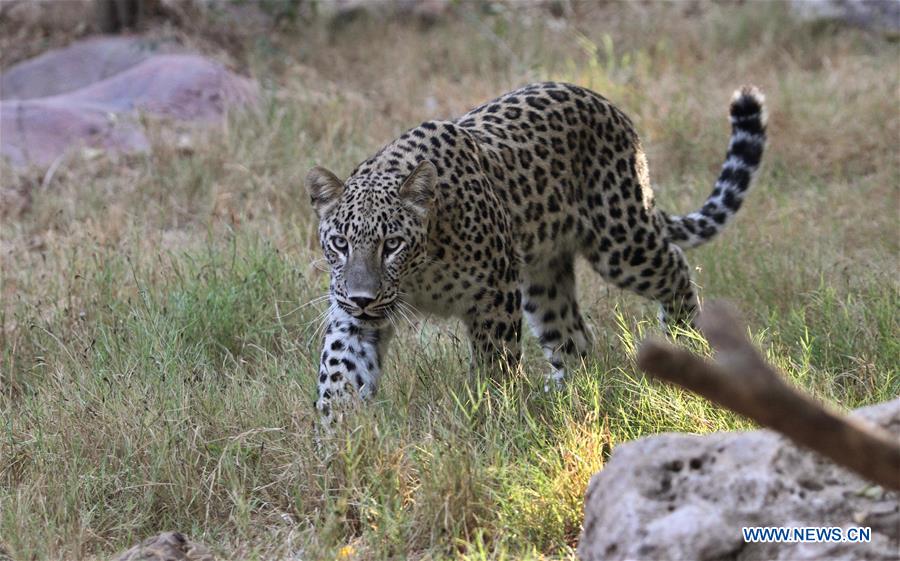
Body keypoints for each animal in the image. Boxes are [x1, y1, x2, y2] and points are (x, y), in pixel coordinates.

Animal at [304, 80, 768, 420]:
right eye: (341, 244)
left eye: (392, 244)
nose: (364, 299)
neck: (420, 271)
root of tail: (604, 102)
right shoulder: (350, 314)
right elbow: (339, 372)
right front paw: (337, 441)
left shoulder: (493, 295)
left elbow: (494, 363)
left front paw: (489, 417)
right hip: (544, 278)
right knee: (574, 338)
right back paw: (561, 394)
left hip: (620, 241)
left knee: (674, 266)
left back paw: (685, 338)